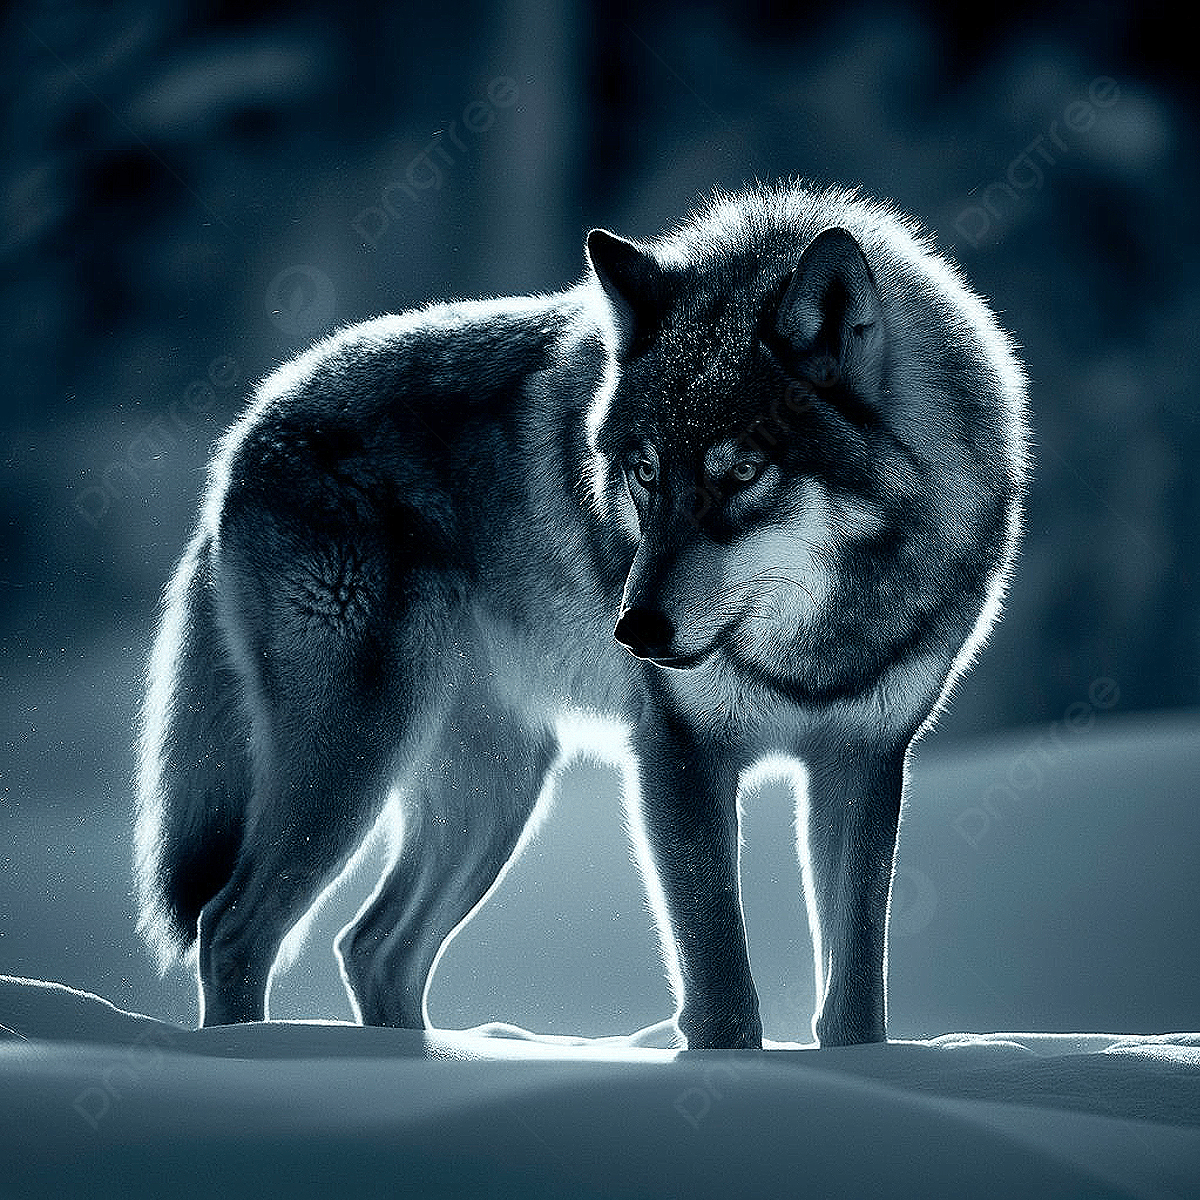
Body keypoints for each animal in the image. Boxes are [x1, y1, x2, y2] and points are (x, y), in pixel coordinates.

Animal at [136, 181, 1028, 1047]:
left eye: (742, 473)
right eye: (644, 472)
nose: (633, 631)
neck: (816, 646)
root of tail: (249, 426)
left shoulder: (863, 761)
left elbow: (855, 1007)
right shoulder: (677, 754)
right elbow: (723, 1001)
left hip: (493, 791)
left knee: (372, 947)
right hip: (359, 758)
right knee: (232, 927)